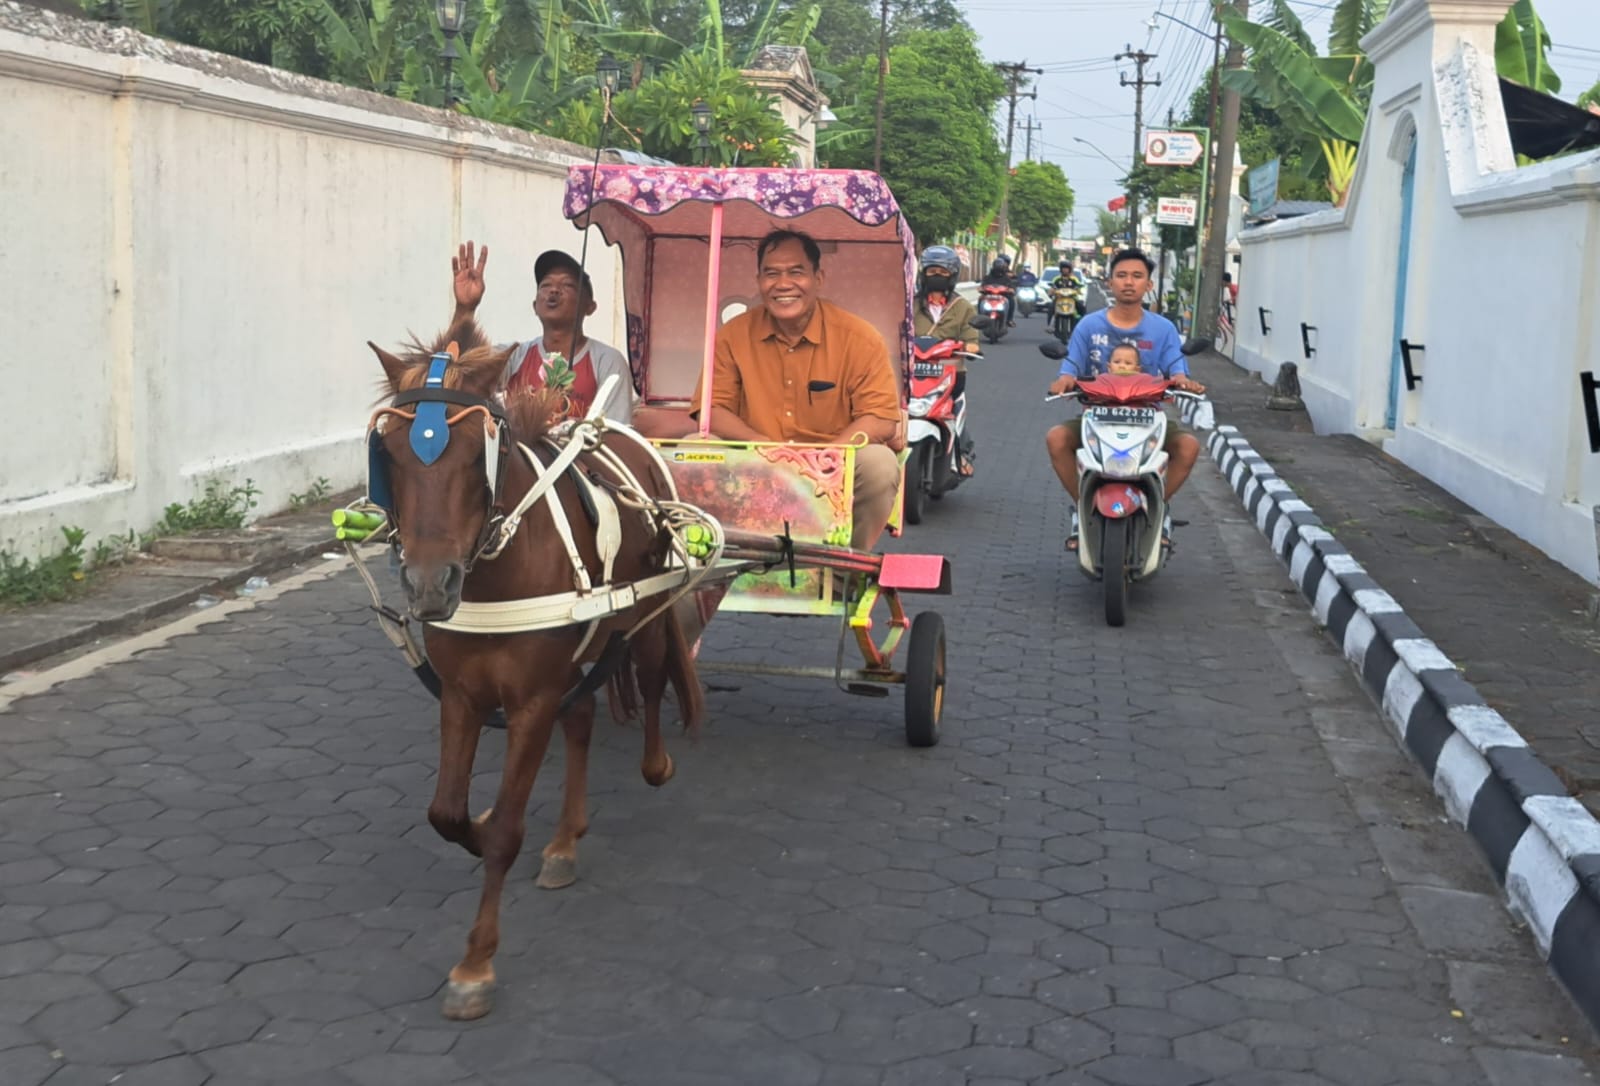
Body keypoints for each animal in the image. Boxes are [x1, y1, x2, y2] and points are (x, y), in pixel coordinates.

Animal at [374, 311, 707, 1017]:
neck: (498, 567)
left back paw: (656, 763)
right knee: (579, 719)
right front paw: (478, 825)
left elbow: (504, 832)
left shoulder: (528, 701)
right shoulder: (462, 695)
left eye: (476, 453)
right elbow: (446, 814)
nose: (430, 585)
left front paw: (475, 965)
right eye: (387, 454)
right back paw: (563, 840)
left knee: (653, 679)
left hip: (646, 611)